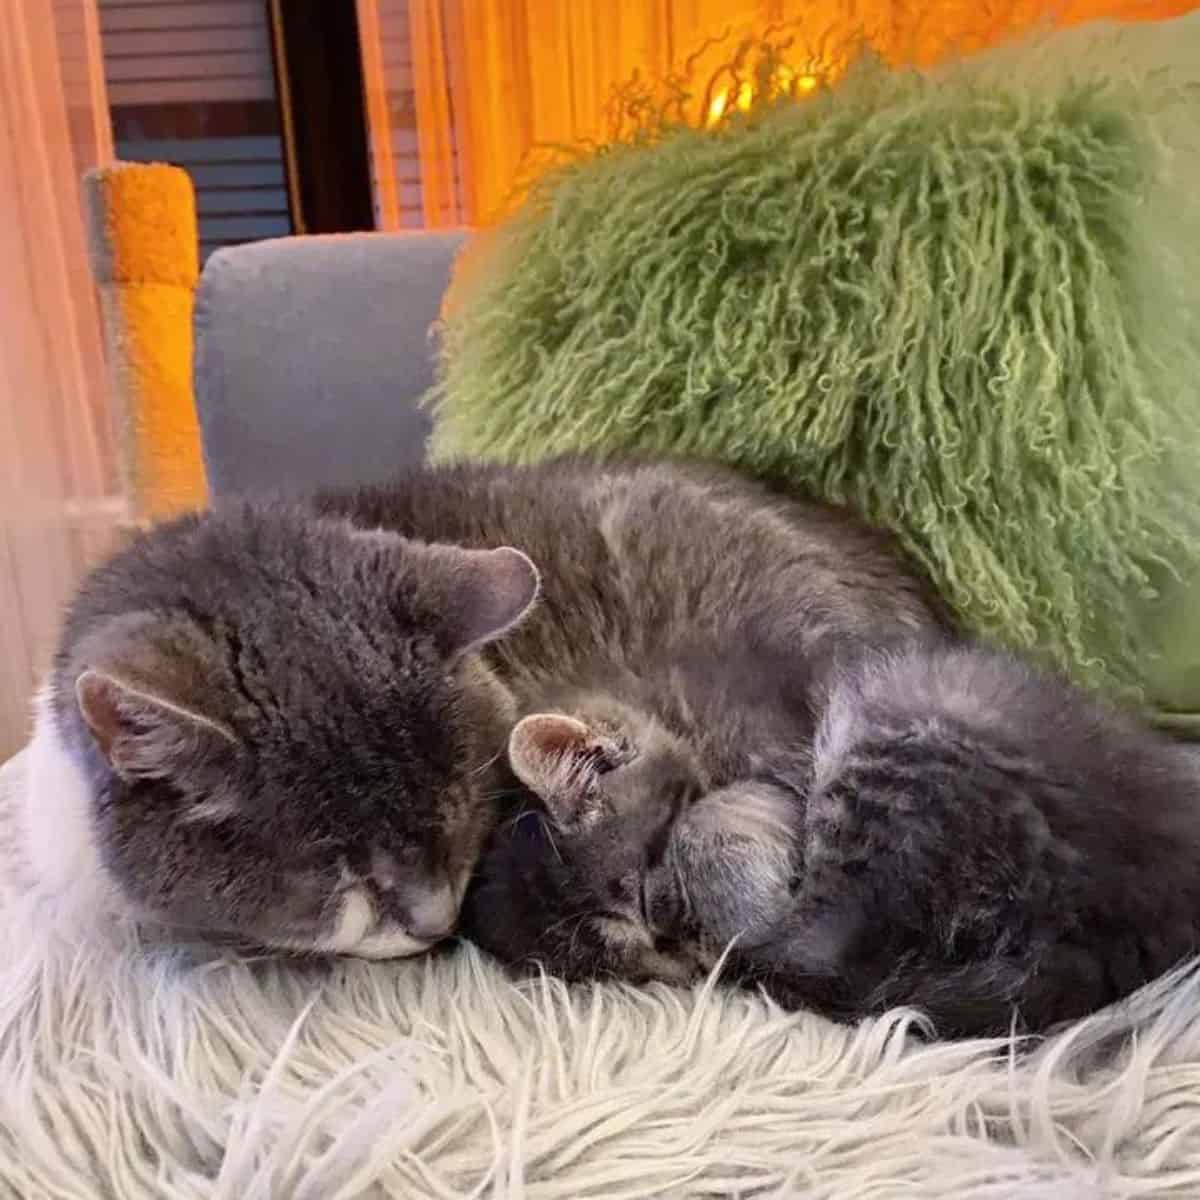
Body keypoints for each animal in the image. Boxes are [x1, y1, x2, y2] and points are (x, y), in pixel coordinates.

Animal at [465, 638, 1200, 1041]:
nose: (686, 962)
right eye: (632, 970)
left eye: (650, 906)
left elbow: (712, 827)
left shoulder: (779, 765)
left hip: (900, 730)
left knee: (832, 952)